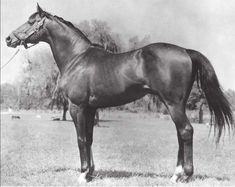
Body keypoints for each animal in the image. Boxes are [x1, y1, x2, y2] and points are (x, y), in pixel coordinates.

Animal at [5, 3, 233, 183]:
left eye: (31, 21)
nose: (8, 39)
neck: (77, 58)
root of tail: (186, 51)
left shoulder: (76, 107)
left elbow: (81, 139)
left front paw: (82, 174)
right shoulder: (90, 109)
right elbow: (89, 138)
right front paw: (91, 173)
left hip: (173, 104)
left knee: (186, 131)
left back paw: (184, 175)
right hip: (177, 104)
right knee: (180, 132)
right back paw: (175, 174)